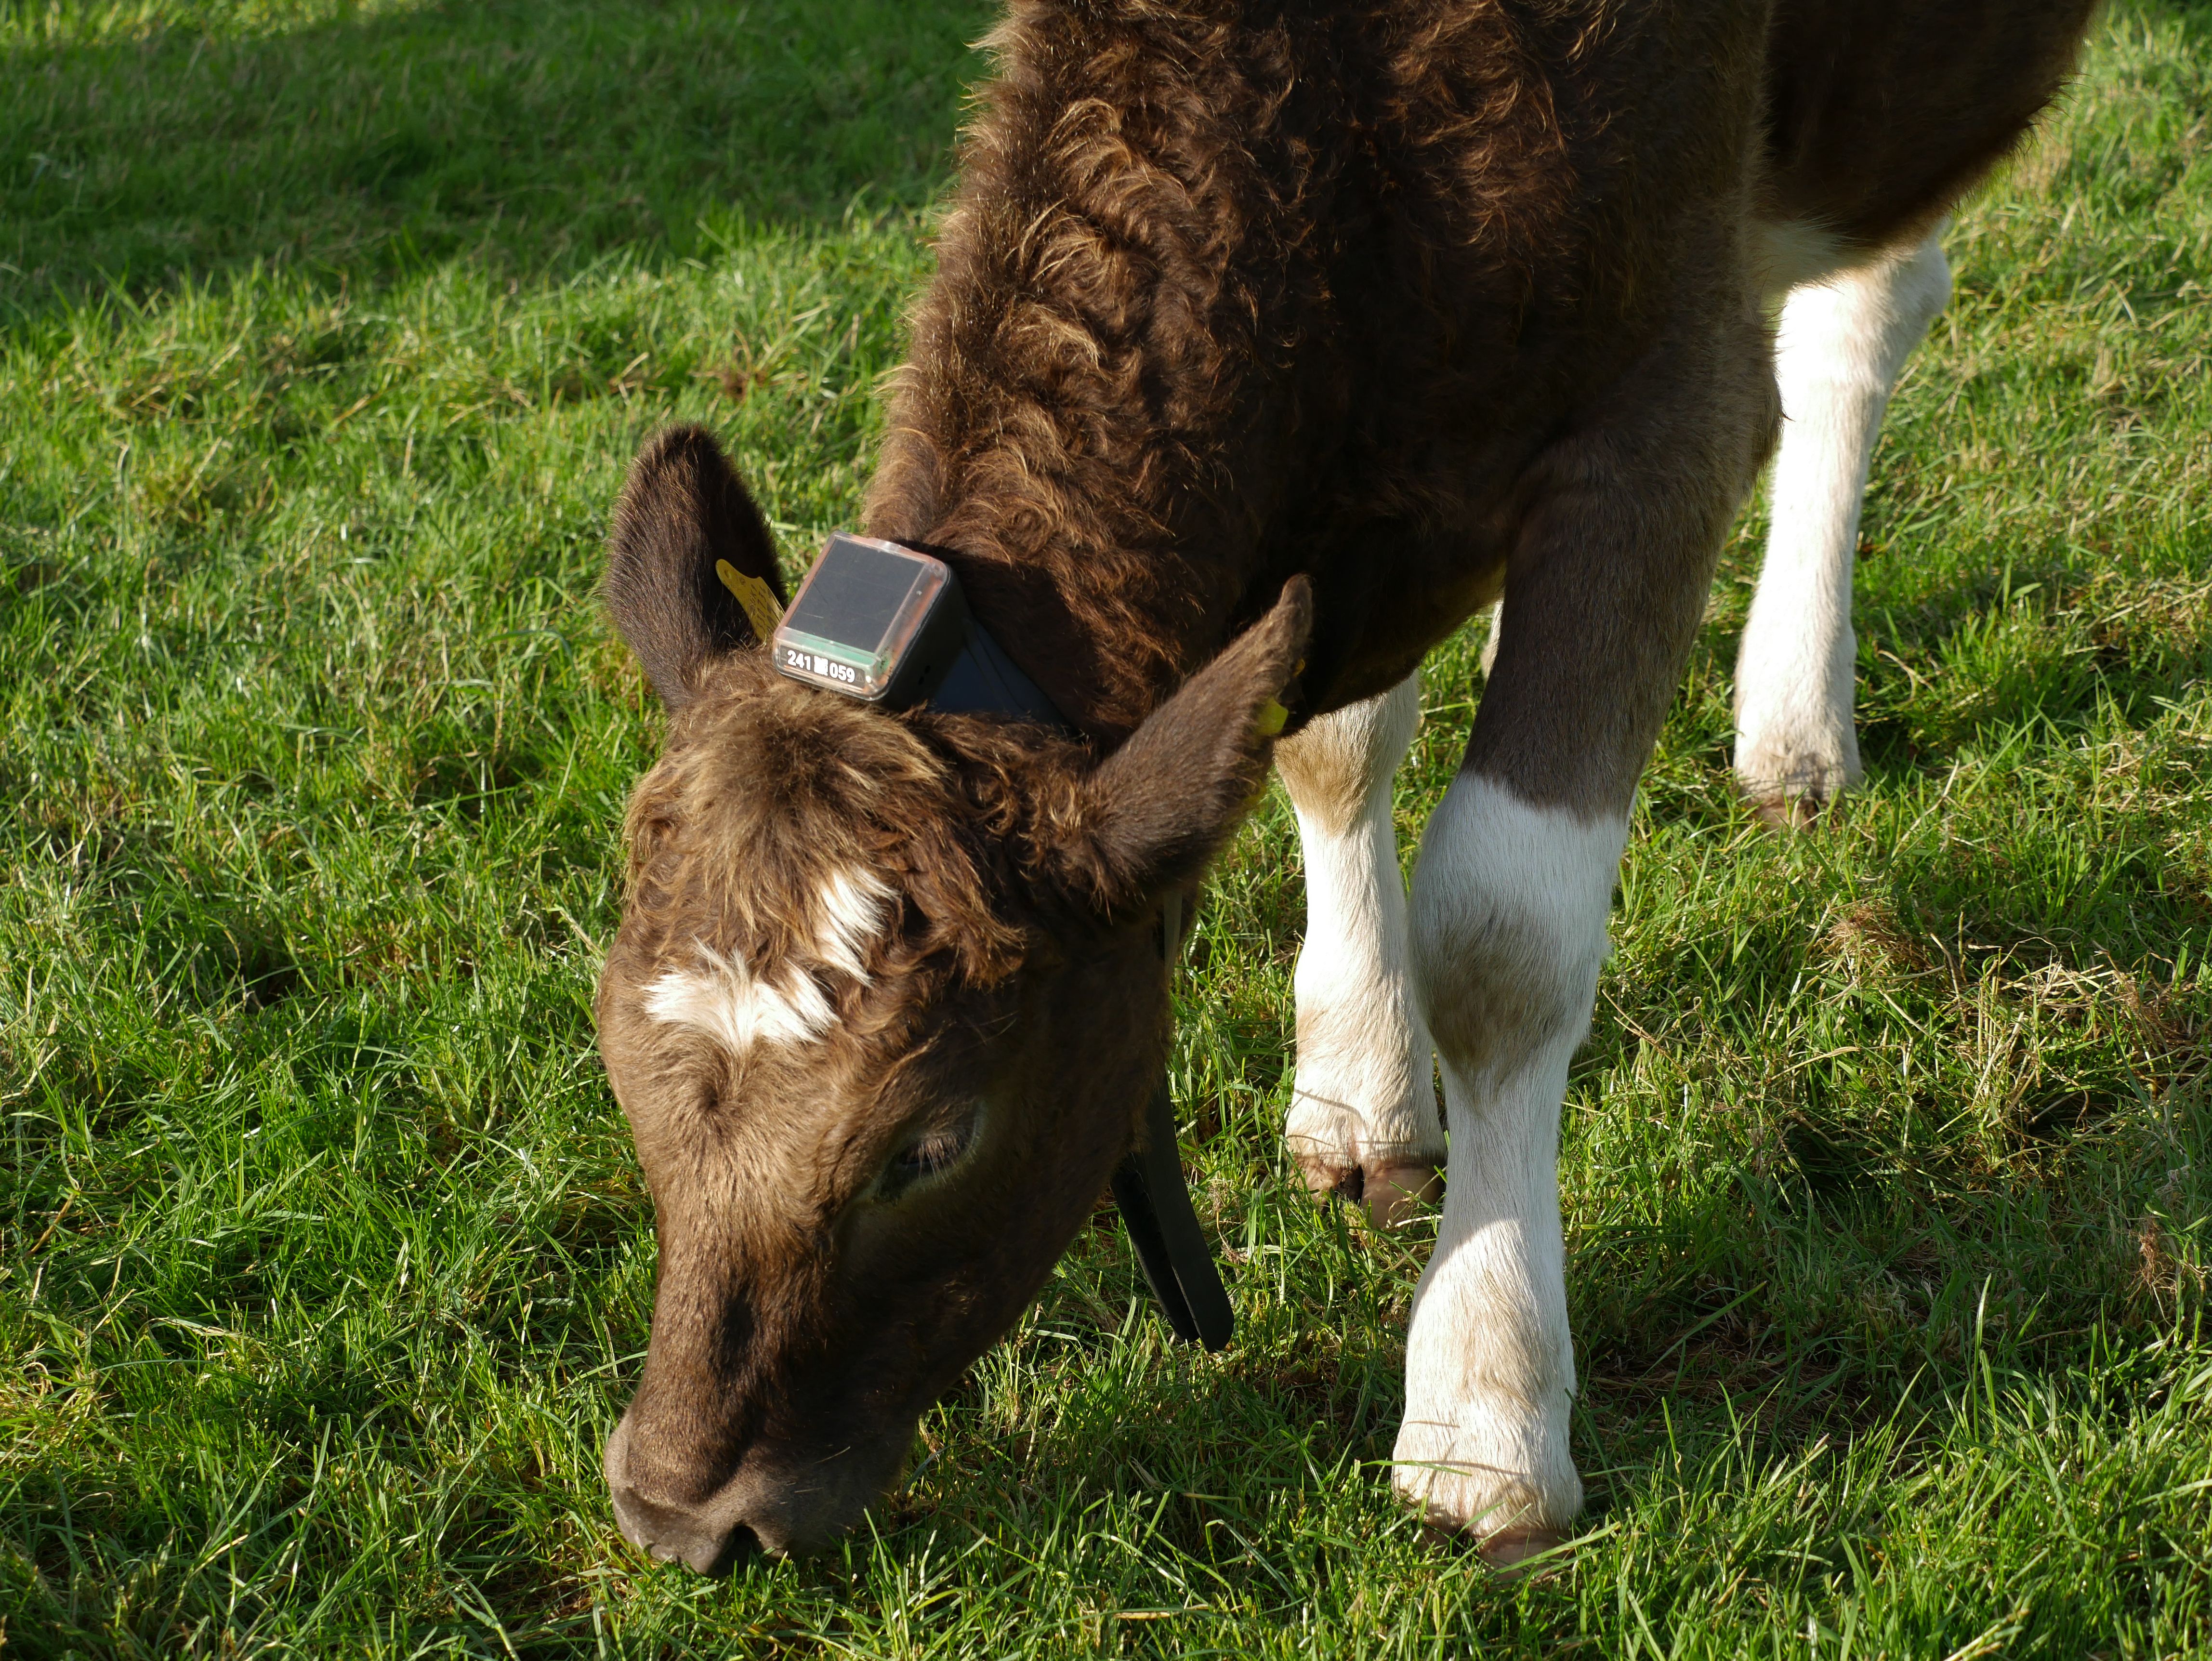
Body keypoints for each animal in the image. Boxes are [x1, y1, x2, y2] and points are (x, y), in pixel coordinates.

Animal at [584, 0, 2088, 1574]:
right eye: (615, 1066)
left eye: (930, 1140)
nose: (676, 1509)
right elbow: (1327, 741)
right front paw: (1363, 1085)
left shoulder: (1668, 409)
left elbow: (1504, 940)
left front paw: (1483, 1414)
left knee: (1872, 304)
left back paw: (1795, 712)